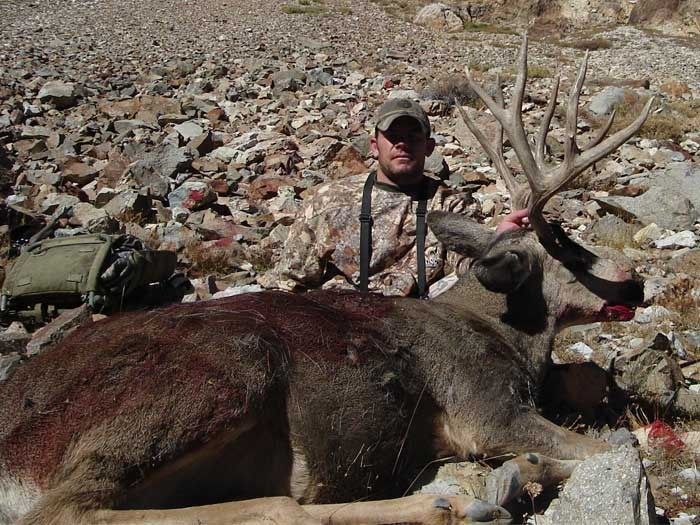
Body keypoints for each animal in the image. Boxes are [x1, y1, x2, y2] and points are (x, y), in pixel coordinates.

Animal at [0, 35, 653, 525]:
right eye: (566, 245)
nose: (638, 285)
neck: (507, 335)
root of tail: (13, 453)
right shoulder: (483, 408)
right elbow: (614, 450)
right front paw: (537, 467)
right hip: (219, 372)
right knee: (76, 510)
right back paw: (450, 504)